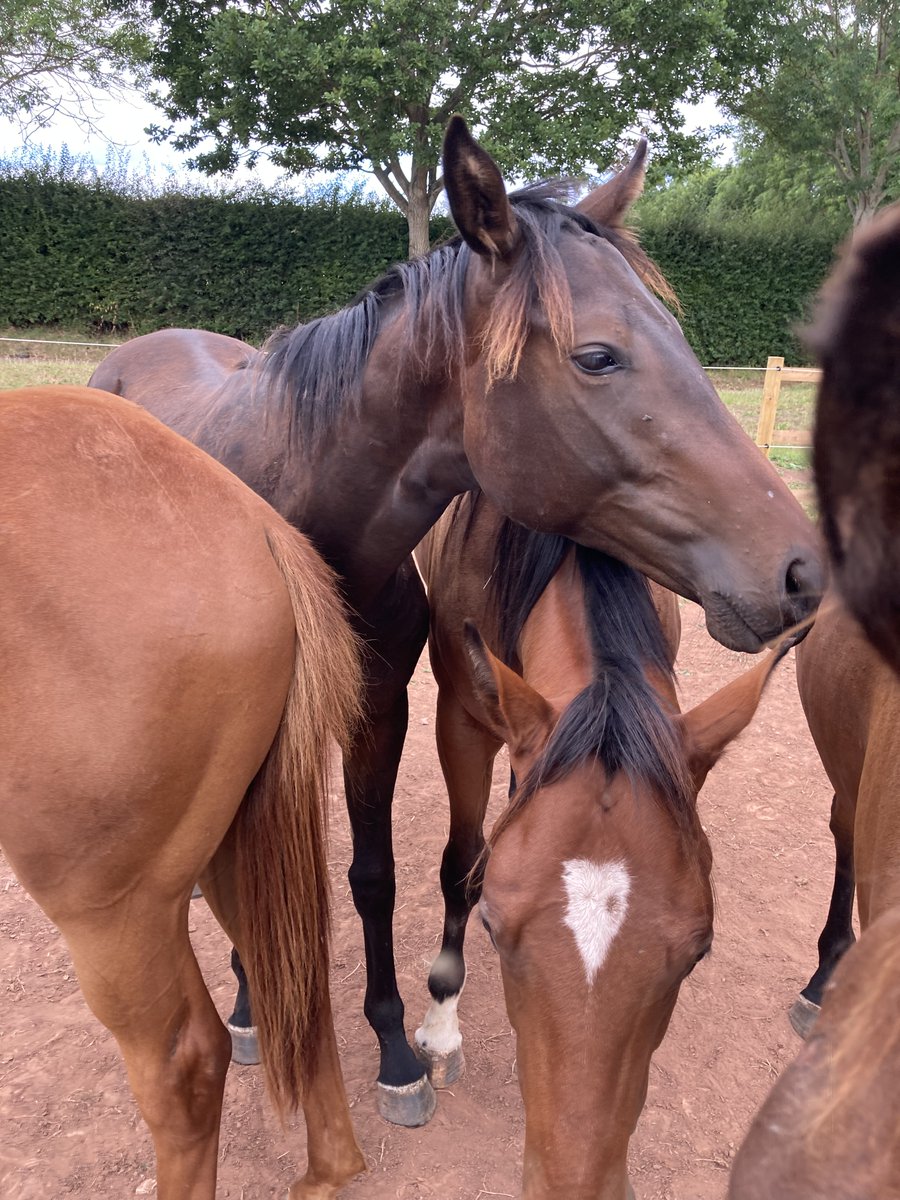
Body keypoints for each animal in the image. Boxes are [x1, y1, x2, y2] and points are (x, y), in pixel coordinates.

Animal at [0, 388, 367, 1195]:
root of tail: (258, 529)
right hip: (231, 843)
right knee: (296, 980)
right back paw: (330, 1170)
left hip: (113, 908)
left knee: (187, 1065)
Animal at [415, 492, 787, 1195]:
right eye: (492, 928)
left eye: (699, 950)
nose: (573, 1184)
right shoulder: (462, 719)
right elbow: (461, 866)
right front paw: (441, 1029)